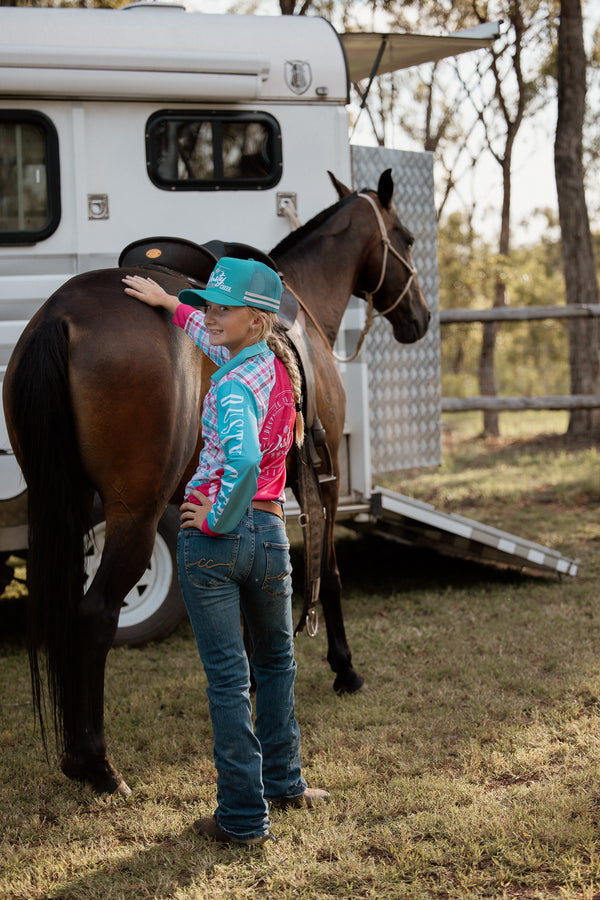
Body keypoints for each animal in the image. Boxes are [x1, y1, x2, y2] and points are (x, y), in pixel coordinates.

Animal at [3, 171, 426, 796]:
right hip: (132, 515)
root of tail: (60, 316)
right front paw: (345, 668)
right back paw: (97, 765)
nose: (420, 318)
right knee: (95, 614)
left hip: (65, 505)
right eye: (408, 239)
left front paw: (251, 679)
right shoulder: (323, 481)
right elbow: (328, 573)